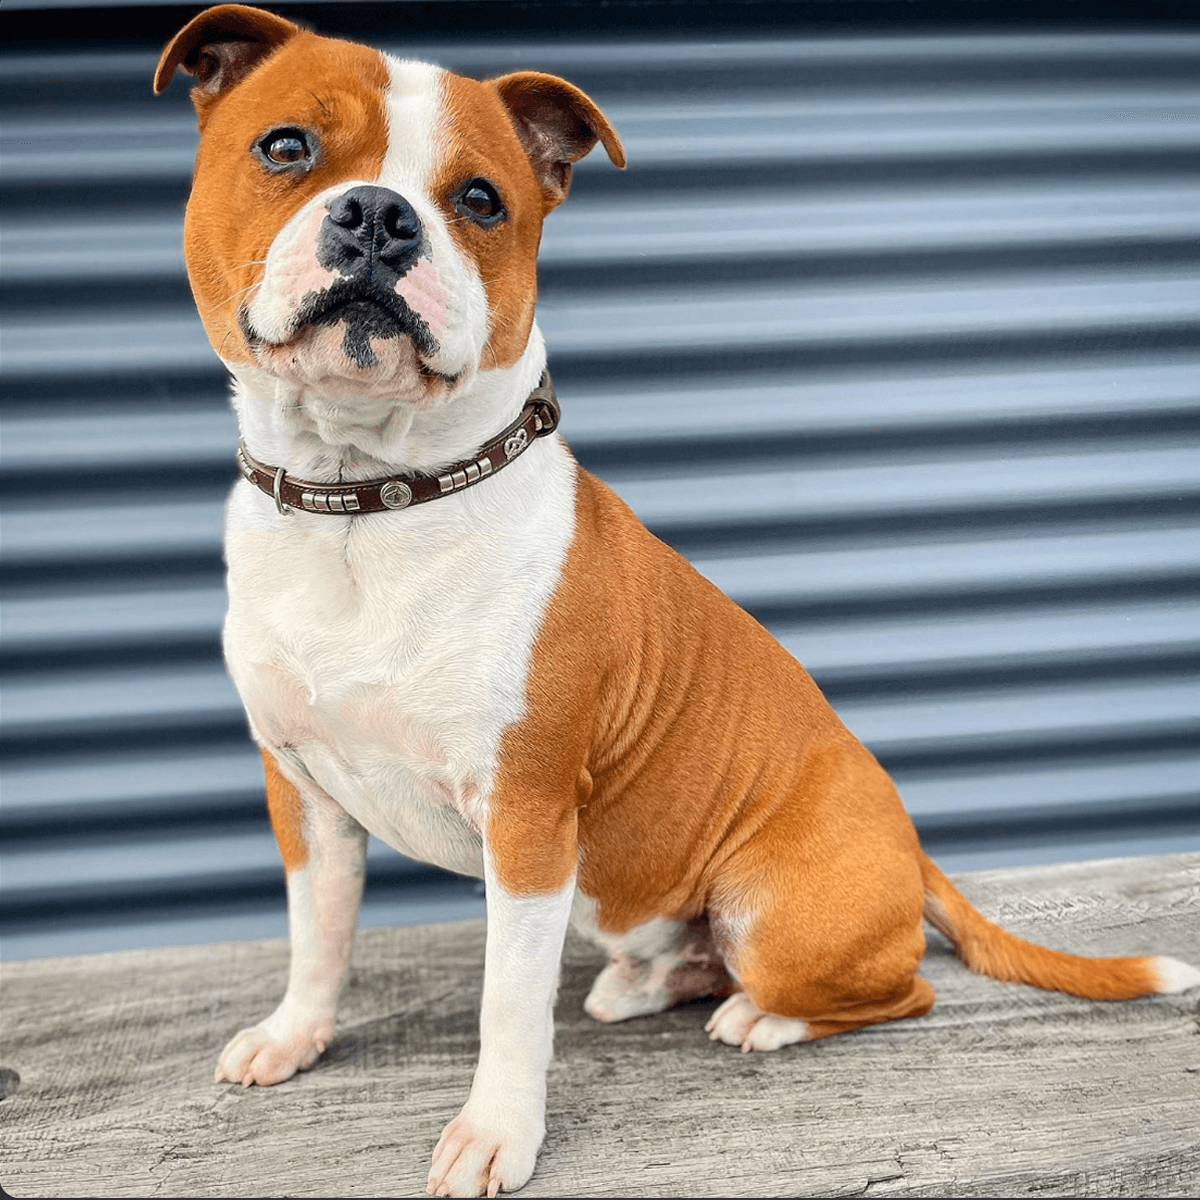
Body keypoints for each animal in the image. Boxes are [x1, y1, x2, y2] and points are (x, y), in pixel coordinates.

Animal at [159, 7, 1200, 1190]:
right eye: (285, 146)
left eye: (482, 200)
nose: (379, 216)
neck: (366, 500)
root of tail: (912, 849)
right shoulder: (308, 797)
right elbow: (318, 938)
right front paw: (297, 1035)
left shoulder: (527, 822)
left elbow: (507, 1006)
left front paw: (496, 1131)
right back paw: (644, 982)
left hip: (773, 911)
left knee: (903, 990)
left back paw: (760, 1017)